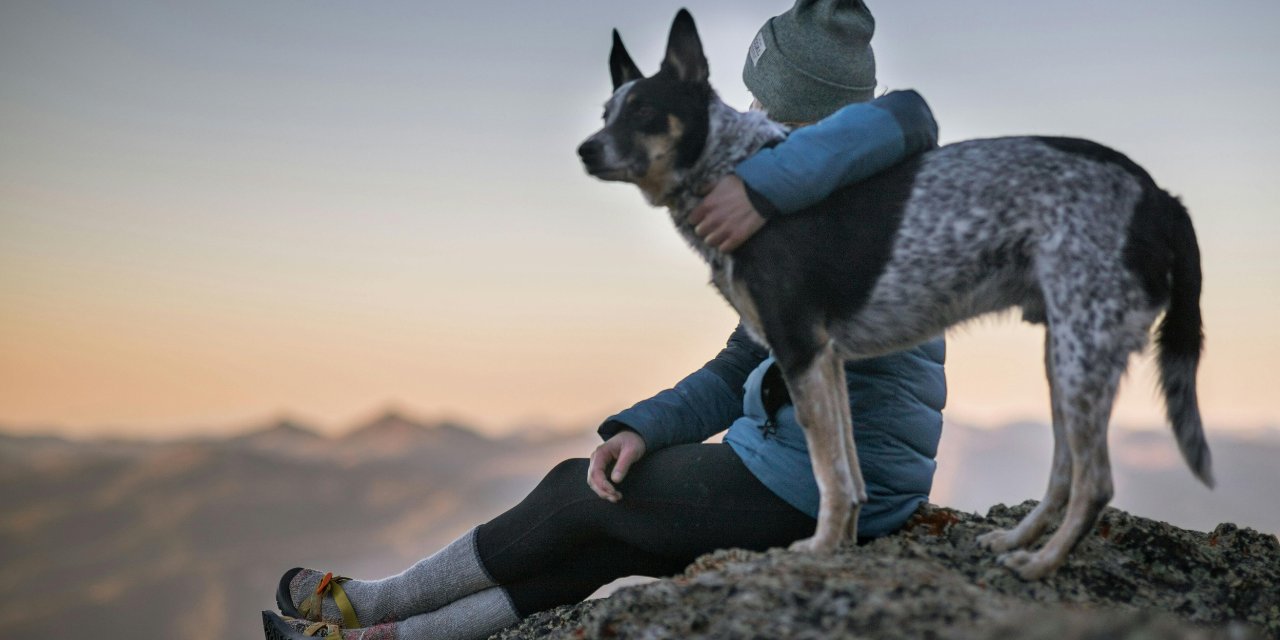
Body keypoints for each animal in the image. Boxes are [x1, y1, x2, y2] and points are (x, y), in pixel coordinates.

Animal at [581, 10, 1208, 581]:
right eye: (606, 112)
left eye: (644, 111)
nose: (585, 150)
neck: (729, 166)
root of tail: (1161, 196)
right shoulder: (826, 359)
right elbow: (848, 473)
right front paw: (840, 545)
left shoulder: (798, 348)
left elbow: (828, 472)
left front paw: (816, 551)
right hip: (1067, 357)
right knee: (1061, 473)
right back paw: (1014, 542)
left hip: (1083, 354)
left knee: (1095, 482)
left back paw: (1041, 564)